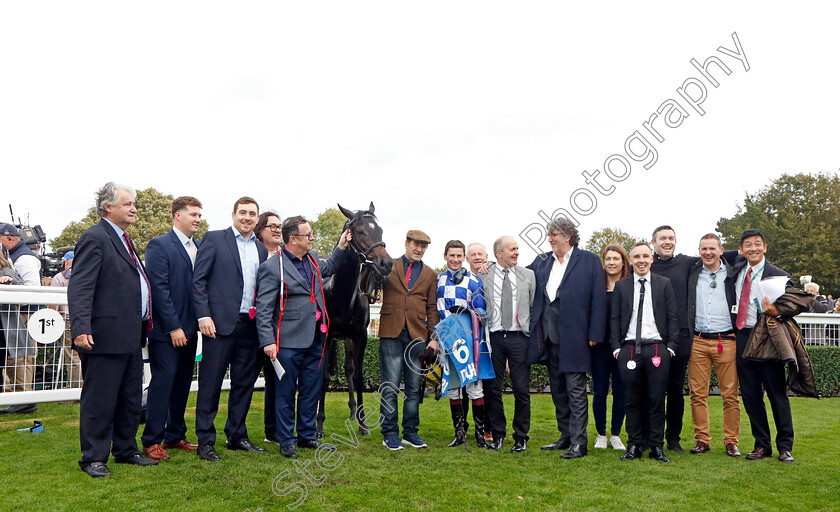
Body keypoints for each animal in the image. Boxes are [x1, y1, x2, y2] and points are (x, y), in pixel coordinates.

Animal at [316, 202, 392, 438]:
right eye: (360, 231)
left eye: (380, 230)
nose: (386, 264)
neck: (341, 295)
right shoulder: (327, 337)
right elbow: (323, 378)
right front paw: (319, 425)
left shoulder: (360, 337)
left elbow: (358, 376)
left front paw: (363, 424)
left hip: (347, 340)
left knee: (348, 369)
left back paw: (352, 413)